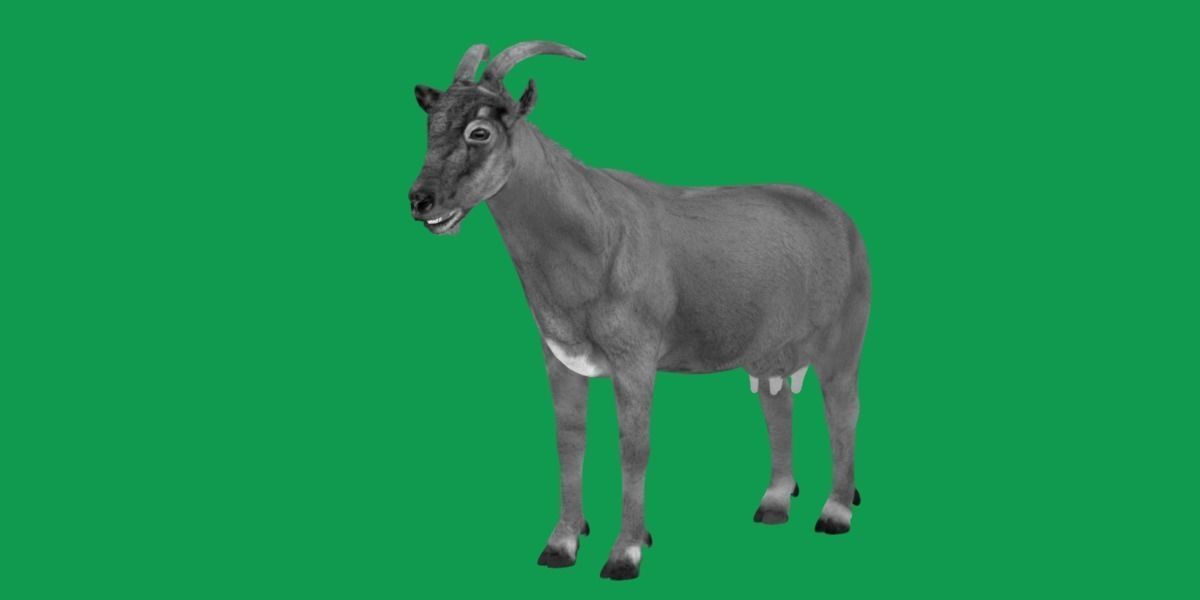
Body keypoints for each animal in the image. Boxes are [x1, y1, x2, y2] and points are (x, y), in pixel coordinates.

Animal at [409, 41, 870, 580]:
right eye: (430, 124)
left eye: (479, 132)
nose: (421, 200)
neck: (595, 234)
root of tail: (843, 221)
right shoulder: (560, 355)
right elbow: (569, 441)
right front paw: (561, 544)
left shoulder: (635, 357)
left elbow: (634, 447)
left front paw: (625, 552)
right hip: (769, 350)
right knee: (777, 403)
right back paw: (774, 502)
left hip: (843, 338)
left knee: (843, 408)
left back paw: (835, 512)